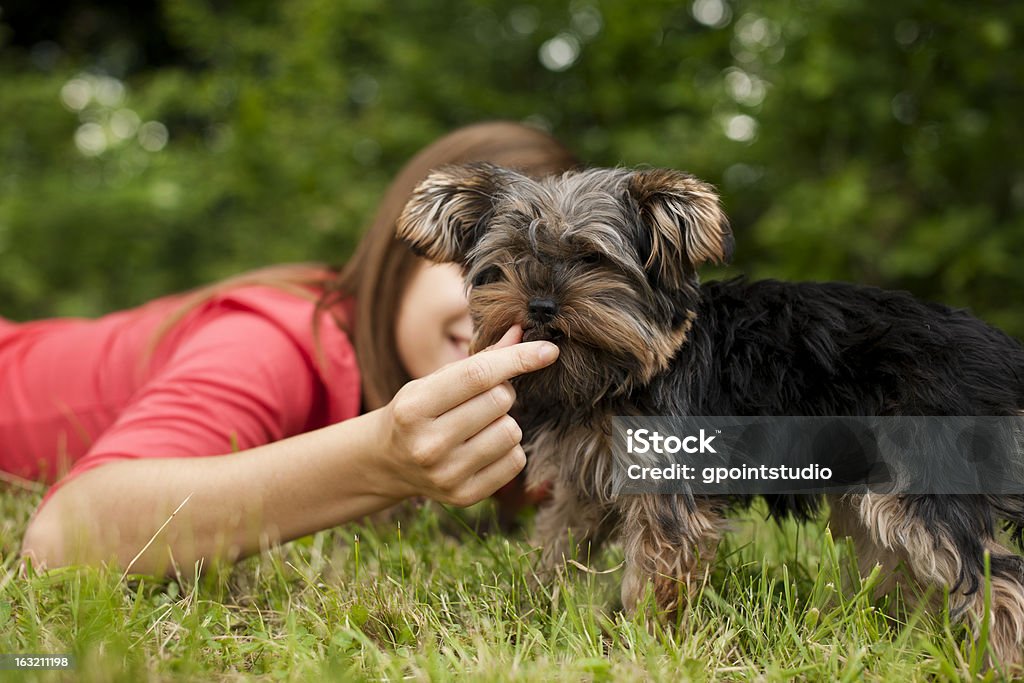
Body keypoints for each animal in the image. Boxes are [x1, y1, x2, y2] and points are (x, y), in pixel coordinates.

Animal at [393, 163, 1024, 667]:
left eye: (592, 259)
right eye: (513, 261)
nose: (540, 305)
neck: (621, 372)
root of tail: (1000, 353)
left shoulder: (668, 481)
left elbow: (656, 572)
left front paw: (645, 647)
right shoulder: (585, 480)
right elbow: (560, 544)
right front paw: (535, 614)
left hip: (926, 468)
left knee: (994, 575)